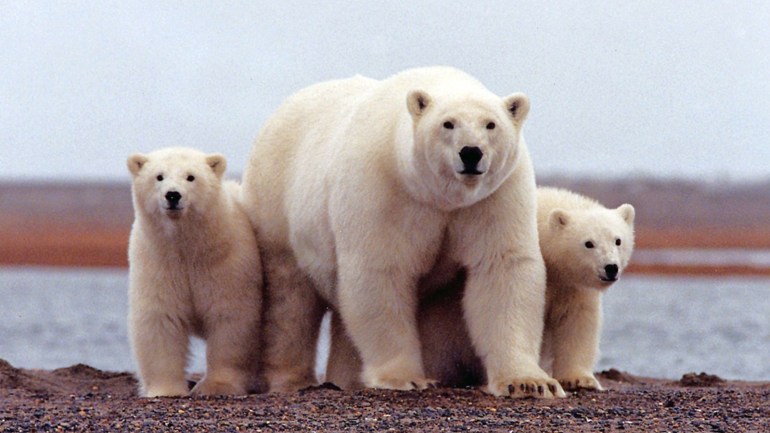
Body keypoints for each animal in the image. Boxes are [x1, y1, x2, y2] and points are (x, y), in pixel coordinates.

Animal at [243, 66, 560, 396]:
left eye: (491, 124)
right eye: (448, 123)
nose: (471, 153)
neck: (439, 197)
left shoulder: (494, 196)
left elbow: (502, 268)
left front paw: (530, 383)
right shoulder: (384, 189)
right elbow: (381, 271)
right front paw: (405, 377)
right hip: (276, 205)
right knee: (290, 300)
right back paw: (291, 379)